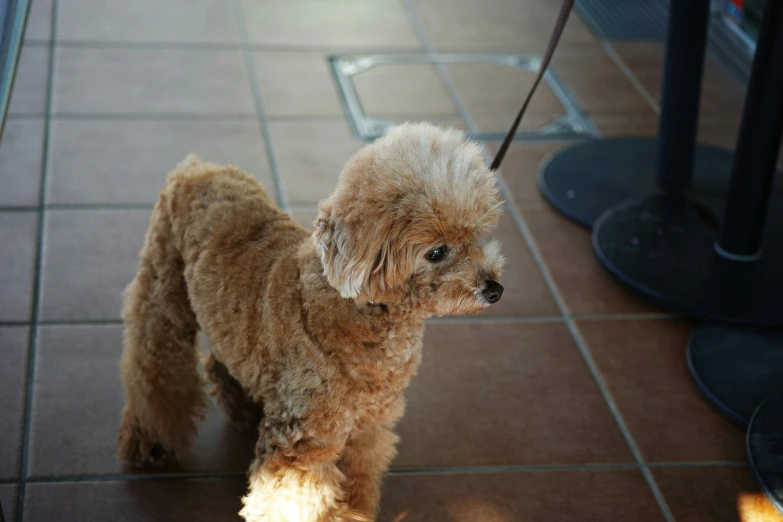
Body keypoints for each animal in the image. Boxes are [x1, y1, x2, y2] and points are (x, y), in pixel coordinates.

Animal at [118, 123, 506, 520]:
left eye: (477, 235)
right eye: (436, 252)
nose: (495, 289)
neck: (371, 313)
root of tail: (196, 168)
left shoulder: (370, 423)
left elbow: (360, 470)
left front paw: (356, 510)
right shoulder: (305, 438)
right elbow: (290, 499)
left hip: (229, 323)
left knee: (219, 361)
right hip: (163, 291)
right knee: (155, 367)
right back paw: (150, 442)